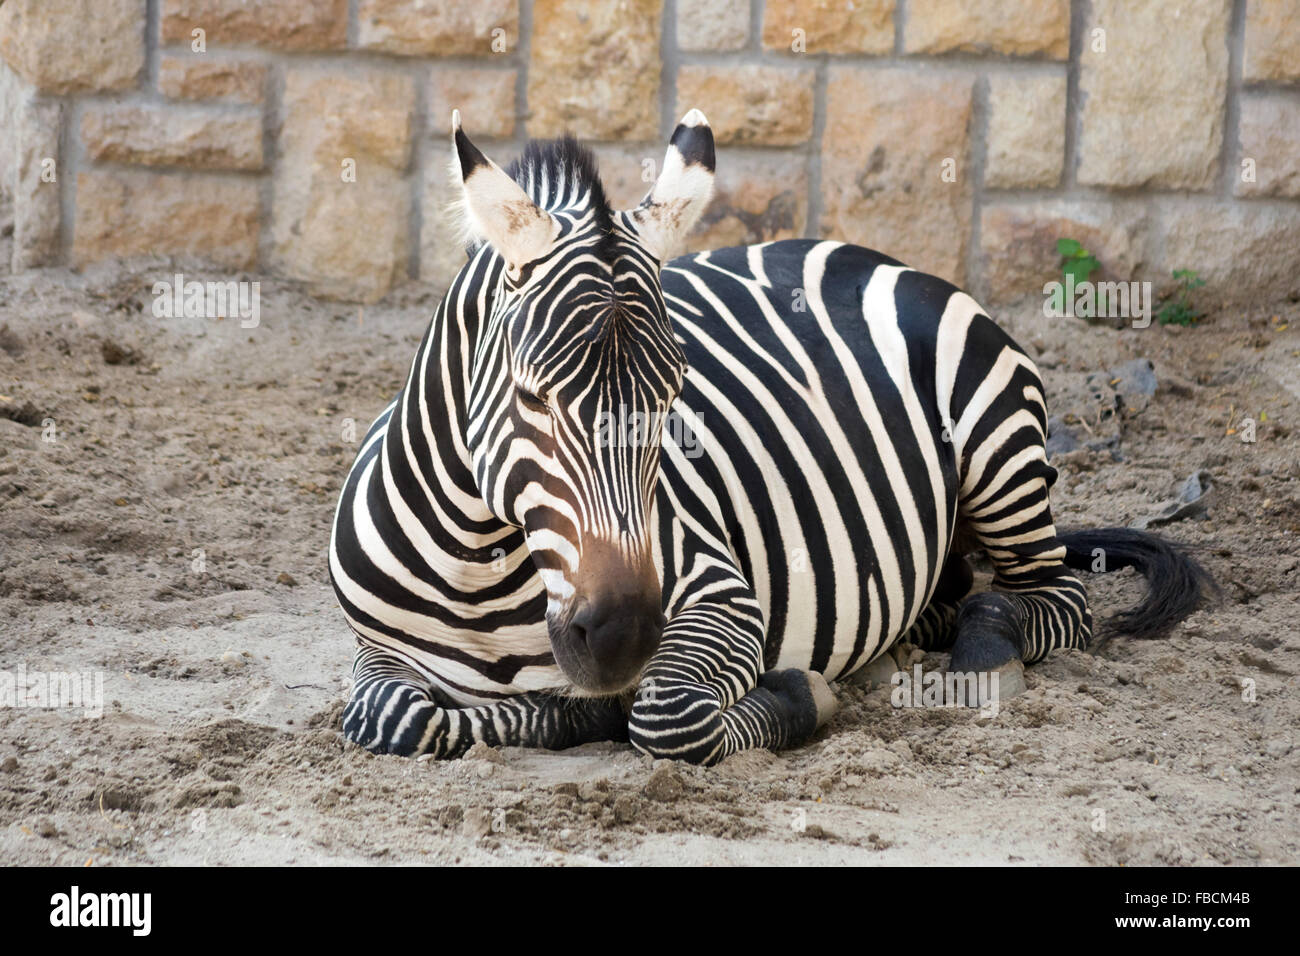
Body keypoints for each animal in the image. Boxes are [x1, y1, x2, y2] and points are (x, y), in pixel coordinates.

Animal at [328, 109, 1211, 765]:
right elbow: (390, 717)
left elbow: (666, 717)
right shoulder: (376, 655)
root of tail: (863, 251)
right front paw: (574, 712)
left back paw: (986, 645)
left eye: (673, 399)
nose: (624, 638)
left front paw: (790, 694)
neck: (478, 567)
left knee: (1055, 596)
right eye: (532, 397)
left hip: (1000, 451)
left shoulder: (720, 593)